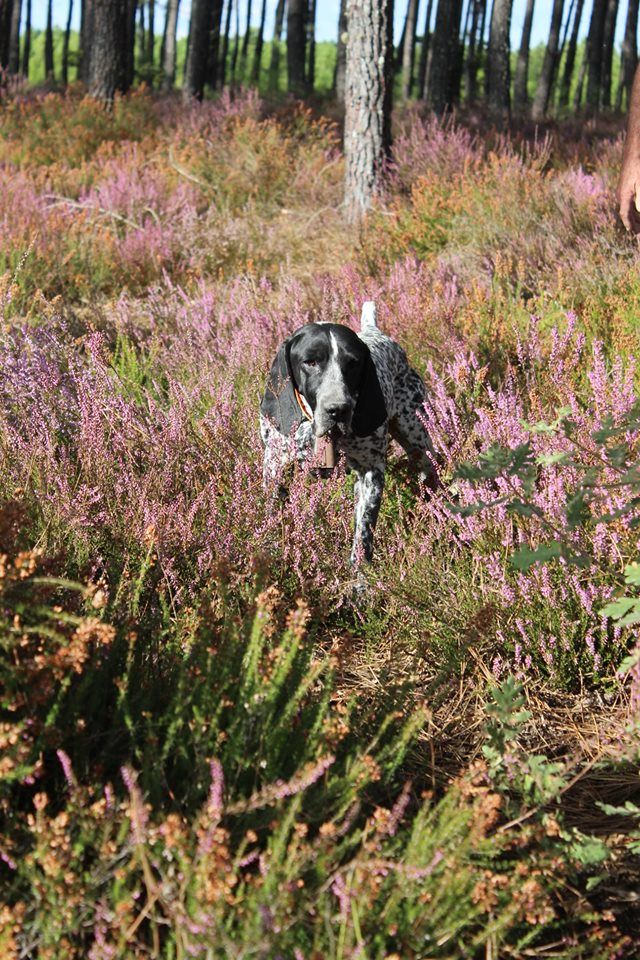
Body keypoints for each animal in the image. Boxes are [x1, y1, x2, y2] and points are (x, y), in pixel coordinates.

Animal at [258, 304, 438, 564]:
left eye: (353, 363)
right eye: (310, 361)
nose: (338, 409)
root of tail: (374, 330)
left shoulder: (371, 472)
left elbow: (364, 532)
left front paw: (360, 573)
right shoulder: (275, 468)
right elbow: (272, 517)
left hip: (418, 440)